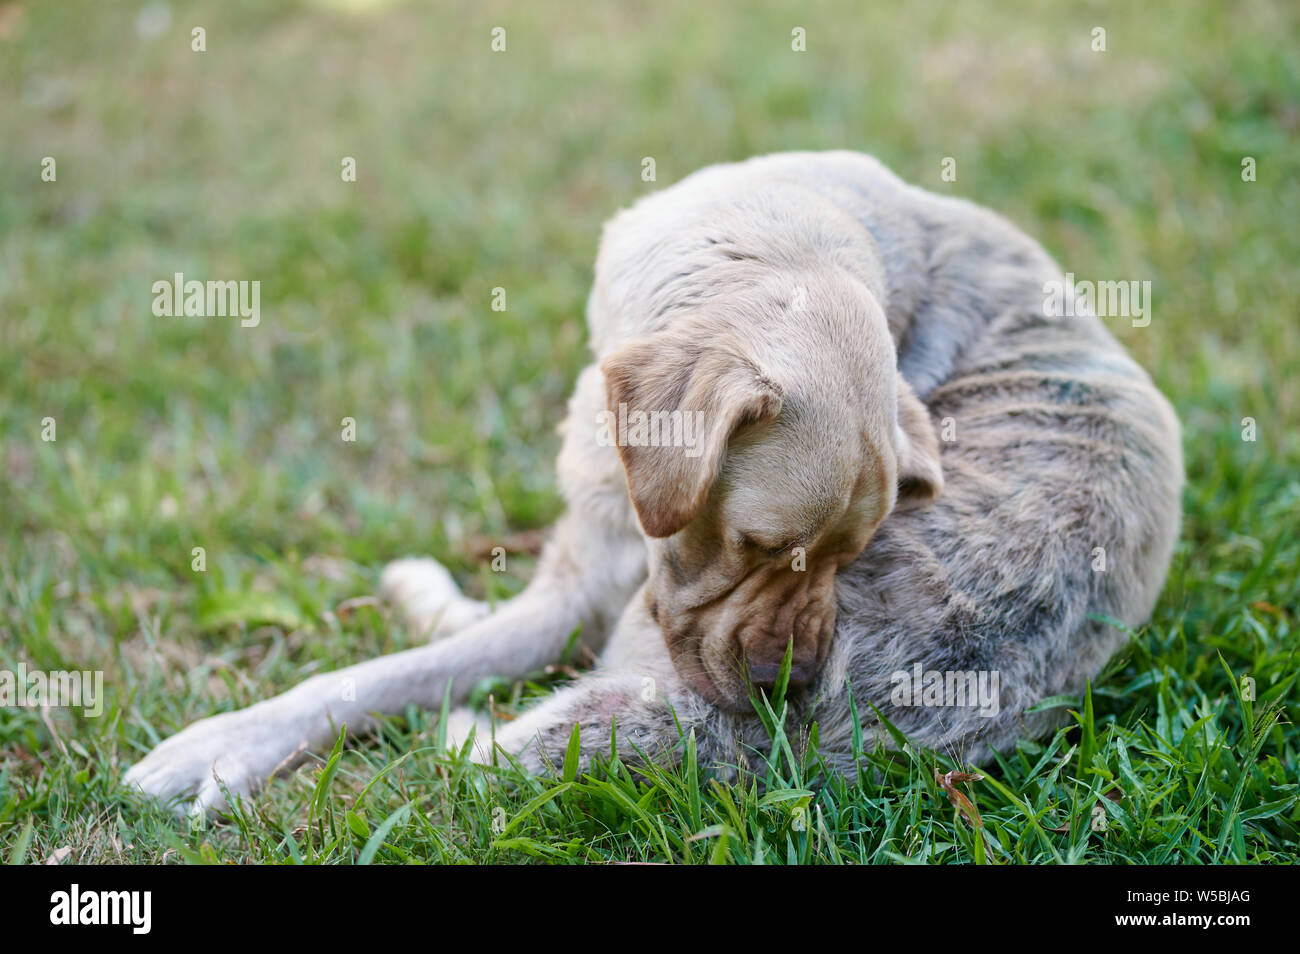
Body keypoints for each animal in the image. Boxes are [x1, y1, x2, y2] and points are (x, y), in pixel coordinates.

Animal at [126, 153, 1185, 816]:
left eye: (853, 558)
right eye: (759, 544)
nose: (788, 690)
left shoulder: (601, 589)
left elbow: (409, 675)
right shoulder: (592, 566)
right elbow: (379, 675)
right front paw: (224, 744)